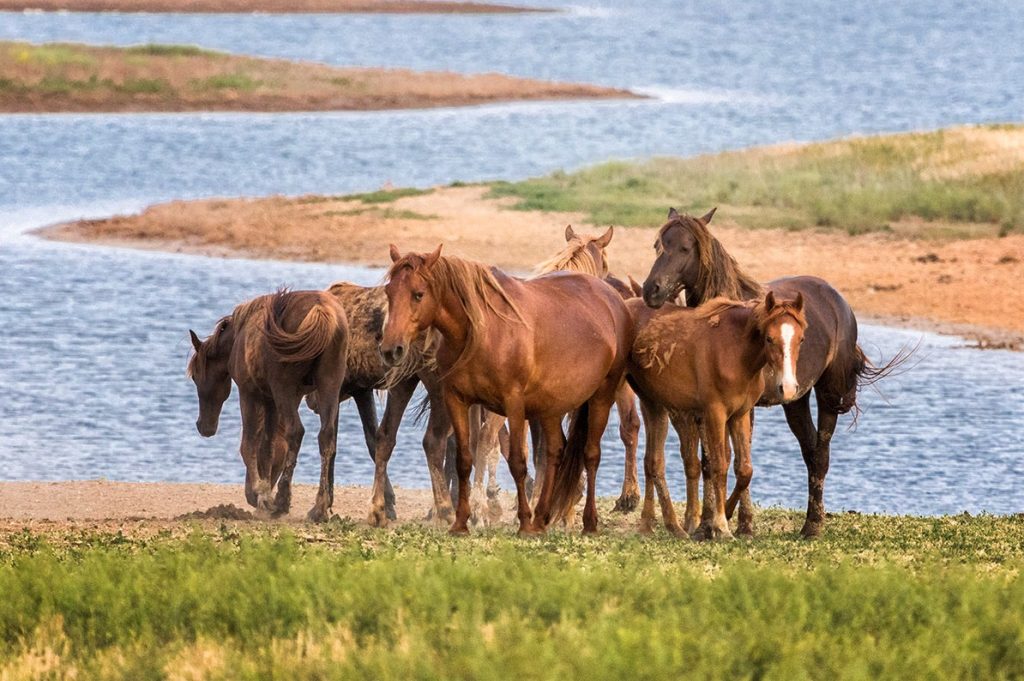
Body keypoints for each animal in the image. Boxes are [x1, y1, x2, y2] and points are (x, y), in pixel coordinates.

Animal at [188, 289, 348, 521]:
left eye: (195, 376)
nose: (204, 426)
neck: (239, 336)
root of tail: (321, 311)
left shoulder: (250, 393)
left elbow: (249, 444)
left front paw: (260, 495)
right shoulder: (270, 400)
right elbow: (267, 446)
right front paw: (263, 493)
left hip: (284, 390)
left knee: (296, 431)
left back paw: (282, 500)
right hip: (329, 386)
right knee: (326, 438)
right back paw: (318, 508)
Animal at [381, 245, 633, 535]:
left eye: (418, 294)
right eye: (389, 292)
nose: (391, 349)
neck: (483, 331)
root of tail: (612, 299)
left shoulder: (513, 404)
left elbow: (517, 462)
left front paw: (522, 522)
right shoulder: (457, 400)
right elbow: (464, 459)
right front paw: (461, 522)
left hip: (601, 397)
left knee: (590, 454)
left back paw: (587, 522)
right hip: (552, 407)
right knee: (555, 452)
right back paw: (541, 517)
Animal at [626, 291, 807, 539]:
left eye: (801, 340)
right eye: (769, 339)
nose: (787, 388)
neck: (735, 352)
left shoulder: (740, 415)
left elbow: (744, 469)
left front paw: (726, 517)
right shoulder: (715, 413)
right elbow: (719, 465)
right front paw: (720, 525)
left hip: (653, 404)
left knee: (652, 462)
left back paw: (657, 525)